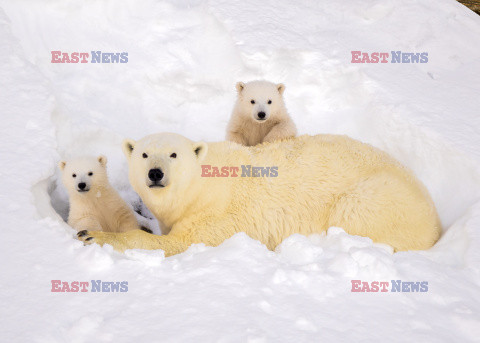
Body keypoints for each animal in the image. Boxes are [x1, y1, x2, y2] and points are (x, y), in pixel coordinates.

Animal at [77, 133, 440, 256]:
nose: (155, 173)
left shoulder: (218, 214)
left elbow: (182, 243)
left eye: (173, 155)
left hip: (377, 198)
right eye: (143, 155)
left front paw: (92, 235)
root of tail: (436, 221)